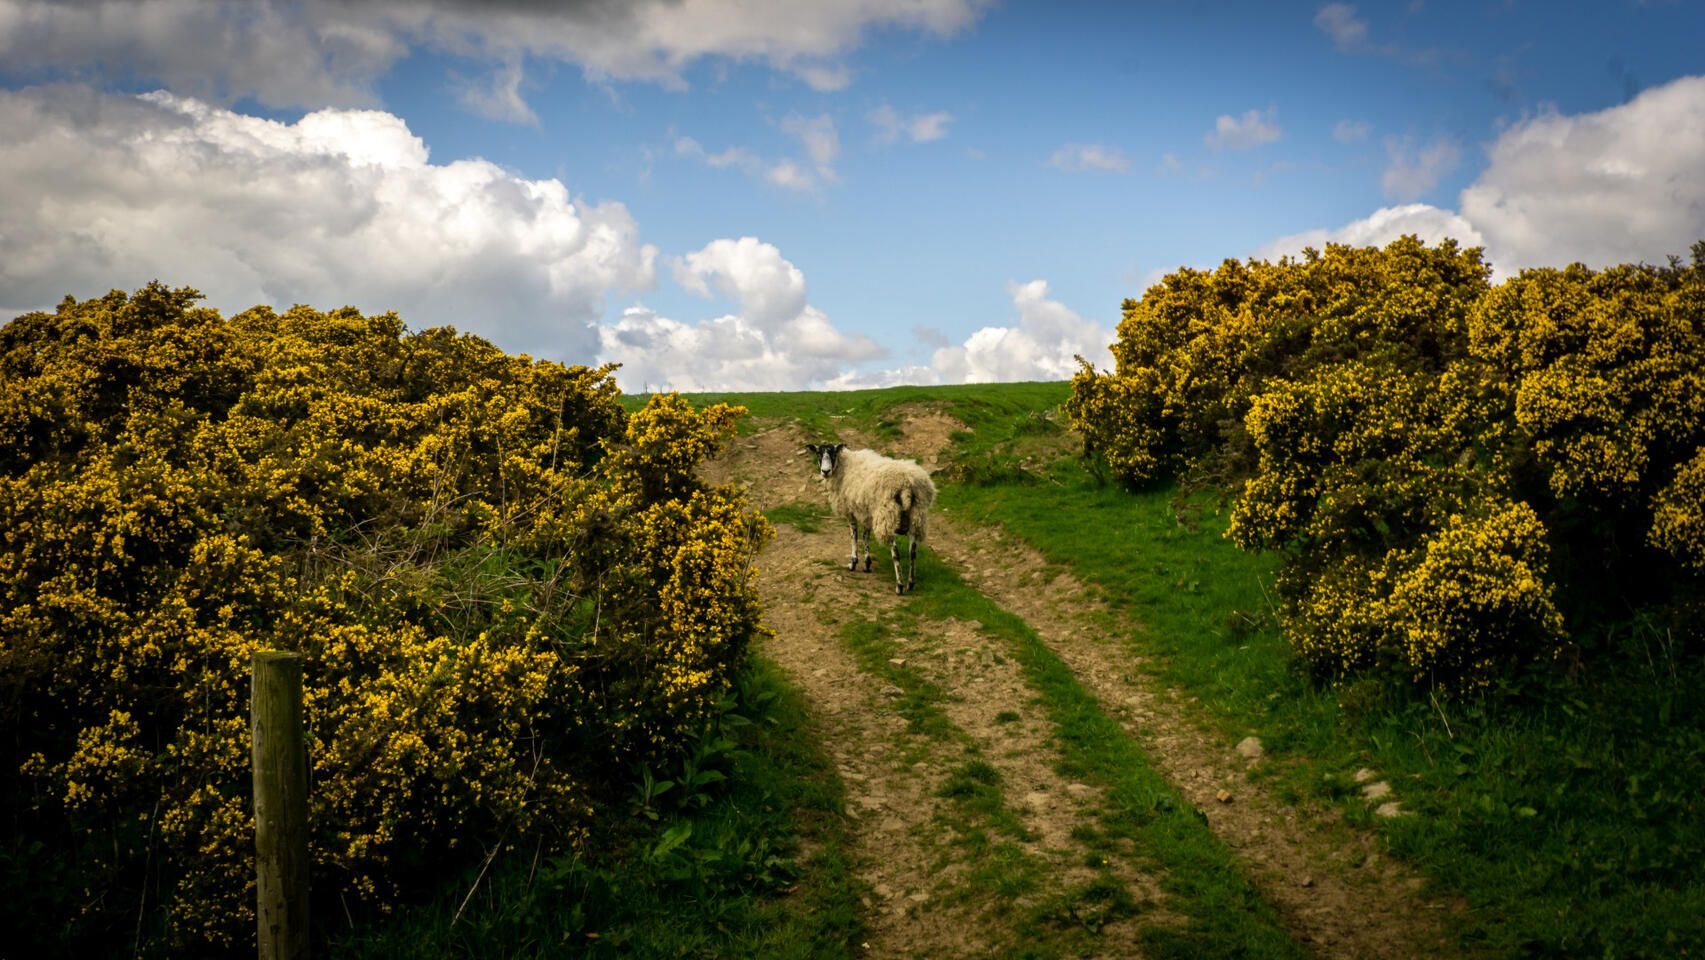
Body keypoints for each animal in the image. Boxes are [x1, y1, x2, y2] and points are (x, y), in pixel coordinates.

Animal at [806, 442, 936, 594]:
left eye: (833, 453)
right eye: (818, 453)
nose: (825, 471)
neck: (844, 466)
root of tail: (907, 486)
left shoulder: (850, 510)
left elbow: (854, 536)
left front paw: (853, 562)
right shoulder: (867, 512)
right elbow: (865, 536)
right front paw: (867, 564)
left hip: (886, 516)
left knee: (896, 552)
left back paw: (899, 585)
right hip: (917, 517)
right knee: (913, 552)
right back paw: (910, 583)